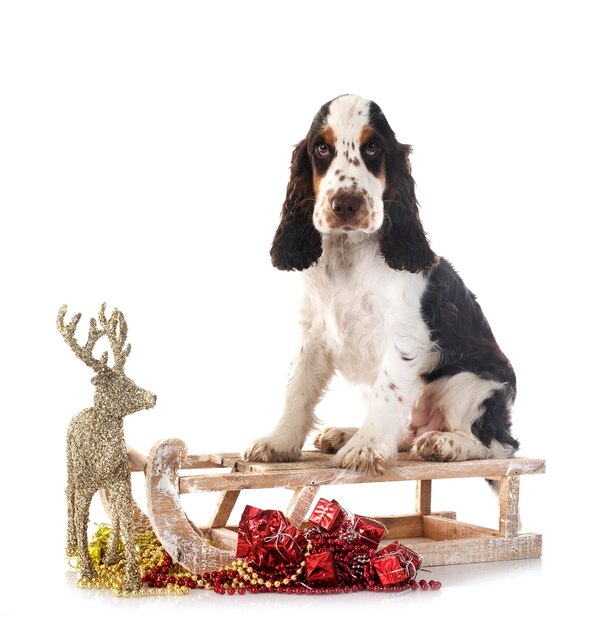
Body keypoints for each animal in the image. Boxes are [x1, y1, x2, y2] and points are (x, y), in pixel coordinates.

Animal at [245, 94, 520, 472]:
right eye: (321, 148)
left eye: (373, 147)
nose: (346, 205)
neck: (348, 252)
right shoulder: (314, 333)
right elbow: (297, 389)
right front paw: (278, 442)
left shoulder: (404, 336)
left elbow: (387, 392)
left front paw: (366, 448)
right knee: (405, 433)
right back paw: (344, 434)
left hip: (468, 384)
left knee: (498, 444)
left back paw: (443, 443)